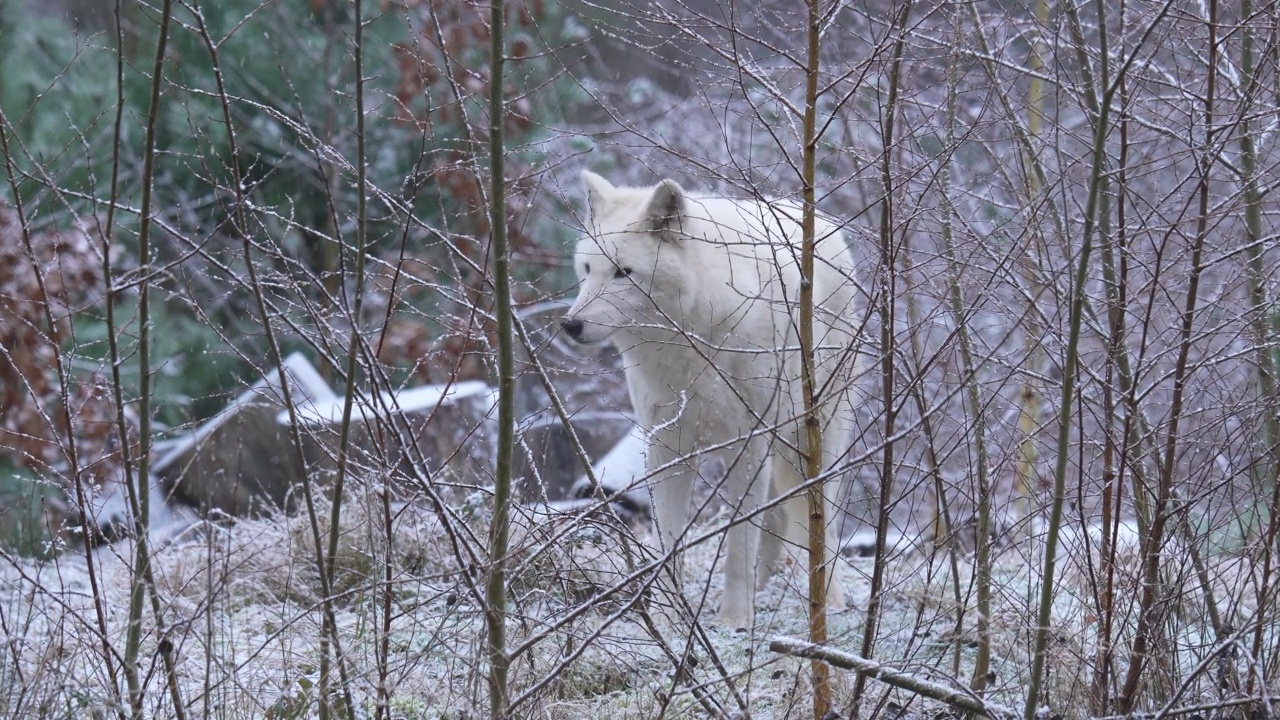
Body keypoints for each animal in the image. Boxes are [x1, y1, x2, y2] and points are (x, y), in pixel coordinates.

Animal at [560, 172, 860, 622]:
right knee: (775, 522)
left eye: (622, 272)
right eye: (587, 269)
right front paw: (667, 620)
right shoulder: (666, 446)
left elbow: (738, 544)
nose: (570, 325)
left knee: (819, 524)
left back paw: (828, 603)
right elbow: (668, 542)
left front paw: (734, 620)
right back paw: (765, 592)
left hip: (812, 442)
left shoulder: (749, 446)